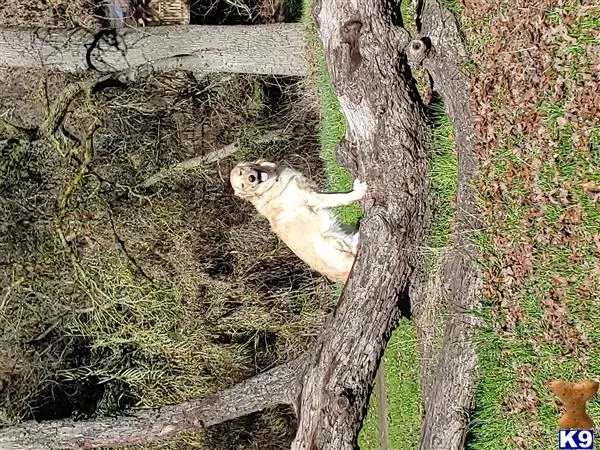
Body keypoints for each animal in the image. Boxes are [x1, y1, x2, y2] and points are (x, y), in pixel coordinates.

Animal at [229, 160, 366, 284]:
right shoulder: (312, 197)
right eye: (243, 185)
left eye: (242, 171)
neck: (271, 185)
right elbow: (338, 197)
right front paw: (357, 192)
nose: (251, 178)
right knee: (353, 250)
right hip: (329, 244)